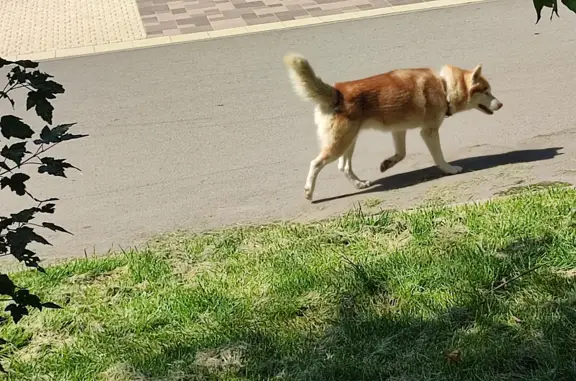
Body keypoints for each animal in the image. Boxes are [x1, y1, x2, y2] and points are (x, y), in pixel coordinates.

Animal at [284, 53, 504, 202]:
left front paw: (387, 164)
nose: (501, 105)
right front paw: (450, 169)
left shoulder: (399, 130)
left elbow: (401, 154)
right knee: (316, 163)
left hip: (349, 141)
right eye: (486, 91)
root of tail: (337, 91)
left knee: (344, 167)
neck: (444, 87)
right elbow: (439, 158)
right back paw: (309, 191)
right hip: (340, 143)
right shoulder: (429, 132)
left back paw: (359, 184)